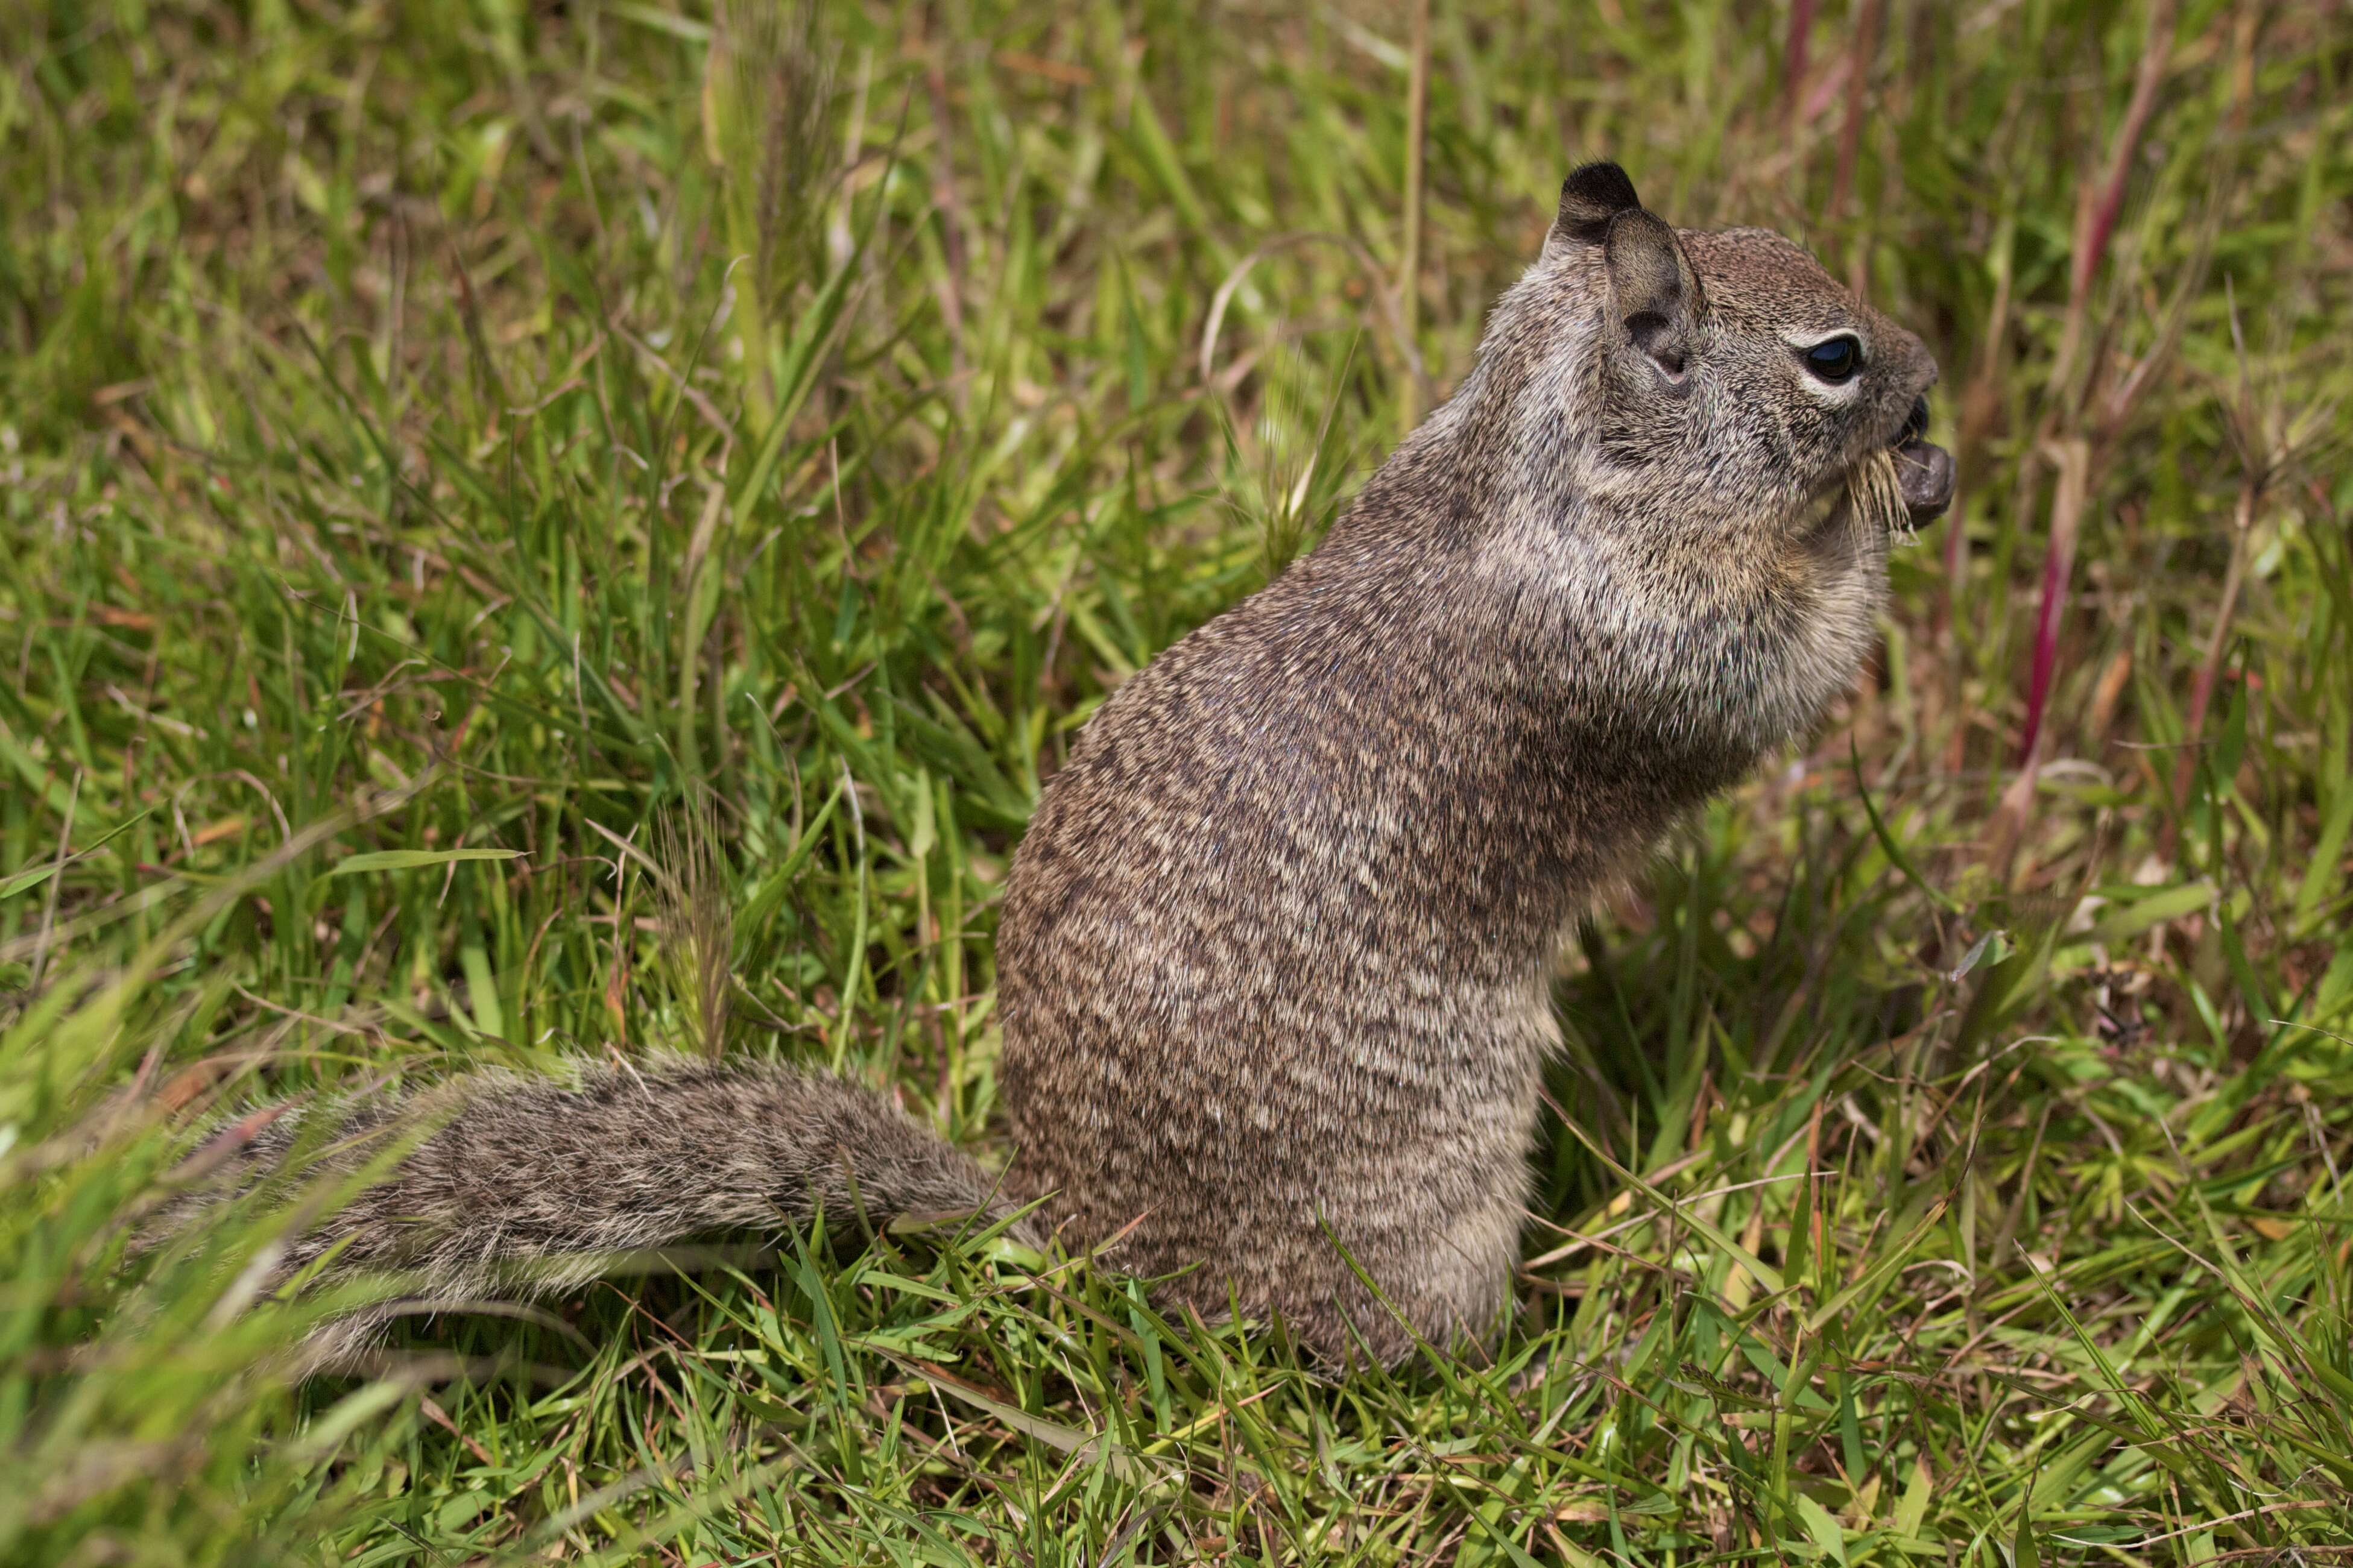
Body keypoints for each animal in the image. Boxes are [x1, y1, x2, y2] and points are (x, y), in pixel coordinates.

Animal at [174, 162, 1957, 1373]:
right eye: (1834, 356)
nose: (1934, 368)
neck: (1526, 463)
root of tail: (1076, 1236)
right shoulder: (1654, 653)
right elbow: (1791, 668)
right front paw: (1896, 508)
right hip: (1426, 1218)